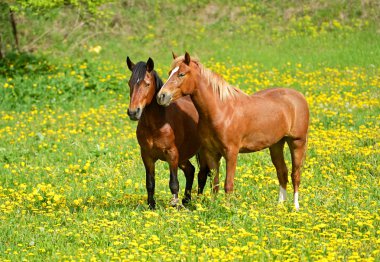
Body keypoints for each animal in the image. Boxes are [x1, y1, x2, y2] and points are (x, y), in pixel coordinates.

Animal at [126, 56, 209, 209]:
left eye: (147, 84)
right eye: (130, 83)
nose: (133, 112)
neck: (158, 124)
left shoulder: (172, 154)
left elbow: (174, 184)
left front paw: (175, 206)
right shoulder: (147, 156)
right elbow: (150, 183)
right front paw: (151, 206)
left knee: (203, 173)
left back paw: (197, 201)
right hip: (183, 155)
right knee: (191, 170)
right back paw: (186, 200)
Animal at [157, 52, 308, 210]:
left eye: (181, 74)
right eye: (169, 73)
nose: (161, 96)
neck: (221, 110)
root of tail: (298, 96)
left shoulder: (231, 153)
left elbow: (228, 184)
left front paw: (227, 208)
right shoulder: (211, 153)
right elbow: (215, 183)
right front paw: (213, 206)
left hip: (297, 142)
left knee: (295, 175)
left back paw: (295, 207)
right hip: (276, 144)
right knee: (282, 172)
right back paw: (280, 207)